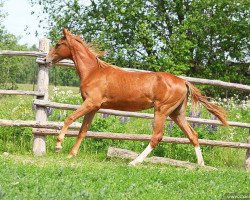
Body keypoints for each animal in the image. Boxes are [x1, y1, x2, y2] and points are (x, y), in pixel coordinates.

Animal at [45, 28, 229, 166]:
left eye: (58, 44)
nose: (46, 59)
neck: (93, 72)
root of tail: (184, 82)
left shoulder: (91, 103)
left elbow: (69, 119)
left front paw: (58, 146)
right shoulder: (94, 108)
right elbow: (83, 130)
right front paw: (71, 154)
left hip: (162, 110)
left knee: (157, 136)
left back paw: (134, 162)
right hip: (177, 113)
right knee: (193, 135)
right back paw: (201, 165)